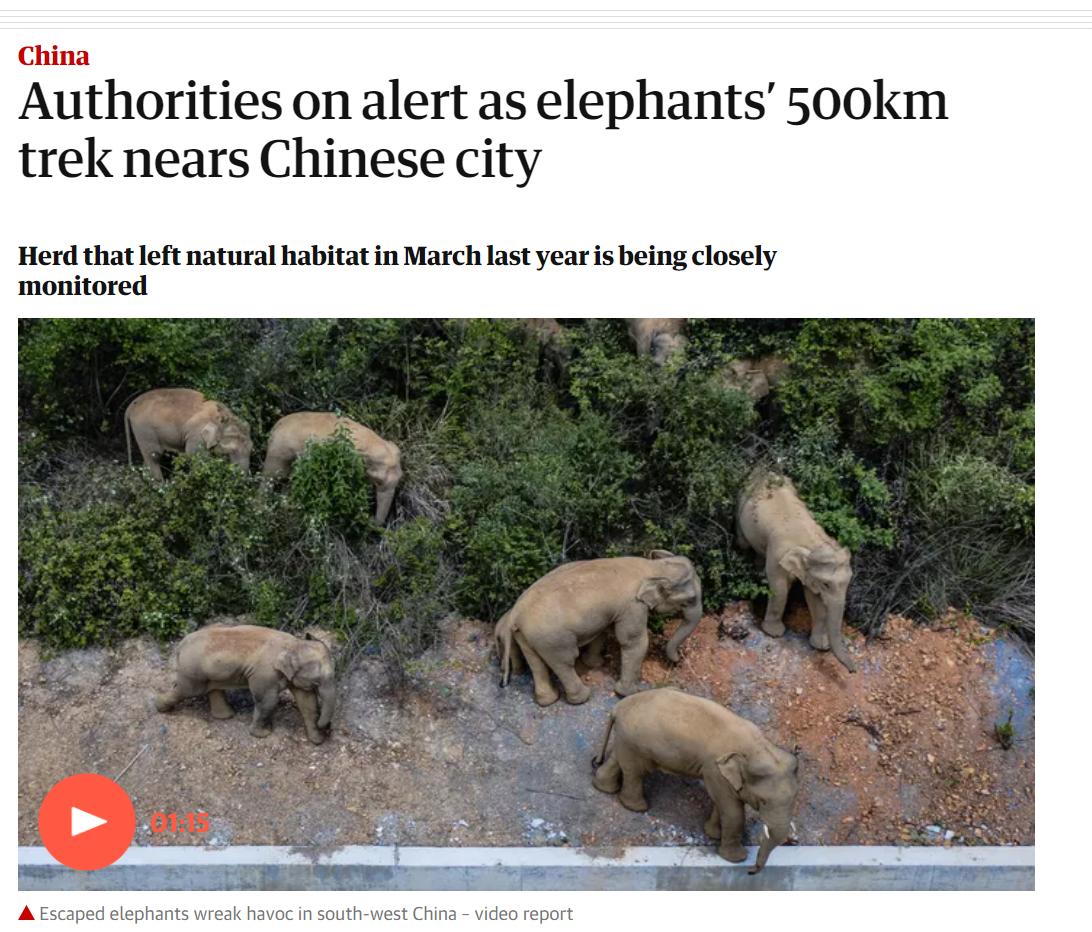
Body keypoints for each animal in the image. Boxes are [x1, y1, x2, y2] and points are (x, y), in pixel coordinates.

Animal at [155, 625, 336, 744]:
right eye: (317, 681)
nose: (327, 728)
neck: (293, 643)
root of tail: (180, 645)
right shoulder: (264, 674)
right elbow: (268, 701)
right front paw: (263, 734)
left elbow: (307, 702)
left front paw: (317, 740)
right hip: (192, 670)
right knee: (186, 690)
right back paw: (160, 708)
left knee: (212, 688)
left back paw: (226, 716)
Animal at [262, 412, 403, 524]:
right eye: (378, 481)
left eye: (400, 479)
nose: (370, 518)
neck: (373, 442)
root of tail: (274, 427)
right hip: (278, 452)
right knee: (271, 477)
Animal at [495, 551, 703, 706]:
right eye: (690, 600)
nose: (677, 661)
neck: (653, 567)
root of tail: (516, 612)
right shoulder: (632, 606)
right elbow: (634, 641)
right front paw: (629, 693)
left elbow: (601, 631)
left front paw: (596, 664)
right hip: (552, 638)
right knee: (564, 662)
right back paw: (582, 698)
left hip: (527, 635)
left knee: (536, 663)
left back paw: (547, 701)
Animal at [592, 688, 799, 873]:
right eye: (763, 802)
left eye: (793, 800)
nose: (751, 870)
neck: (759, 748)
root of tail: (618, 707)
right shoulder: (714, 769)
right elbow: (733, 812)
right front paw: (736, 859)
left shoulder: (719, 774)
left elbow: (721, 803)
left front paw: (713, 834)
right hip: (637, 741)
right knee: (636, 771)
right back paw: (637, 808)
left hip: (627, 738)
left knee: (619, 759)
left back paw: (604, 787)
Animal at [736, 471, 856, 672]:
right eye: (826, 584)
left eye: (848, 582)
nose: (853, 670)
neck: (812, 542)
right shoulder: (778, 553)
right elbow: (779, 588)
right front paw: (774, 633)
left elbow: (814, 599)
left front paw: (821, 645)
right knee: (743, 543)